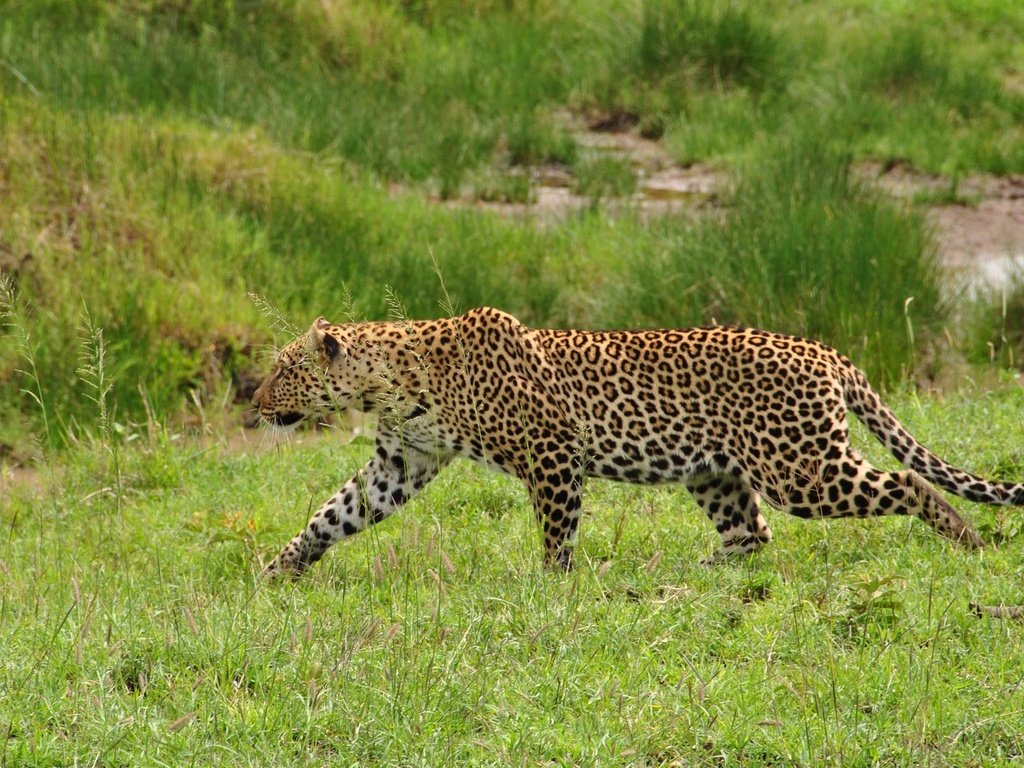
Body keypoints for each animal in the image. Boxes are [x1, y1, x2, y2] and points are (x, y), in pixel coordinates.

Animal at [249, 307, 1024, 577]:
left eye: (284, 371)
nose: (253, 404)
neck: (391, 379)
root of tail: (826, 352)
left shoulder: (552, 454)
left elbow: (556, 532)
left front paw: (554, 588)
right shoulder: (402, 462)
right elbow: (333, 514)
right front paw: (279, 571)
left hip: (800, 467)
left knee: (905, 482)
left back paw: (967, 541)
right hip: (715, 473)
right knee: (751, 534)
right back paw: (694, 576)